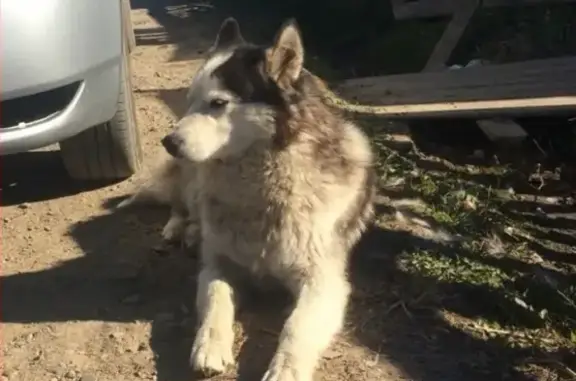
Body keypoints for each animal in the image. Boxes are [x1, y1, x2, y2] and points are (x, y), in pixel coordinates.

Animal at [133, 17, 376, 380]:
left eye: (218, 104)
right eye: (189, 100)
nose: (169, 143)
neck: (264, 193)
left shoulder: (325, 284)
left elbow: (296, 327)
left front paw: (285, 371)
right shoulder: (219, 265)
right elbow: (216, 299)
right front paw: (209, 346)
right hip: (192, 178)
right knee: (184, 204)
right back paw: (181, 229)